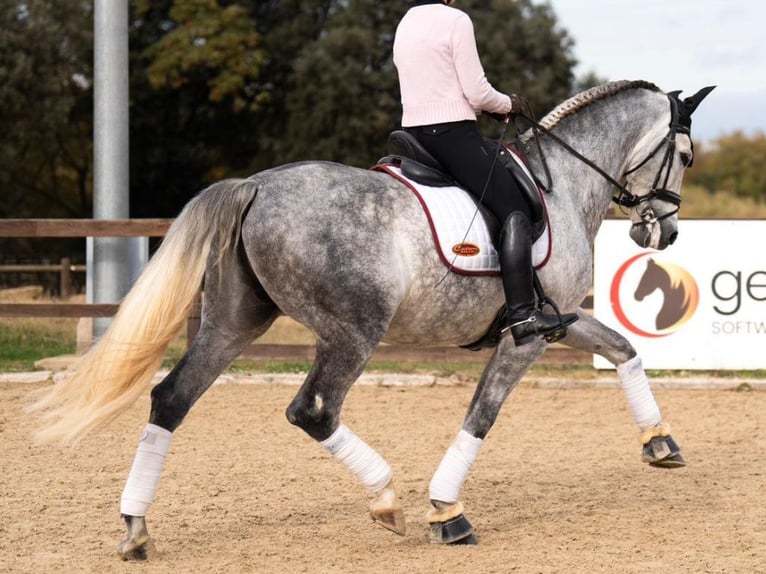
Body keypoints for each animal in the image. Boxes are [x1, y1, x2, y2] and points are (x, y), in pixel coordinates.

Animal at [30, 80, 713, 557]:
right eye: (684, 153)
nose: (664, 232)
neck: (564, 185)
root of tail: (254, 185)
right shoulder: (528, 336)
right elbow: (482, 416)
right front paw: (445, 510)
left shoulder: (561, 316)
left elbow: (623, 348)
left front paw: (660, 442)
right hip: (353, 333)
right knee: (313, 410)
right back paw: (386, 499)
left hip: (233, 324)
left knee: (171, 399)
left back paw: (136, 530)